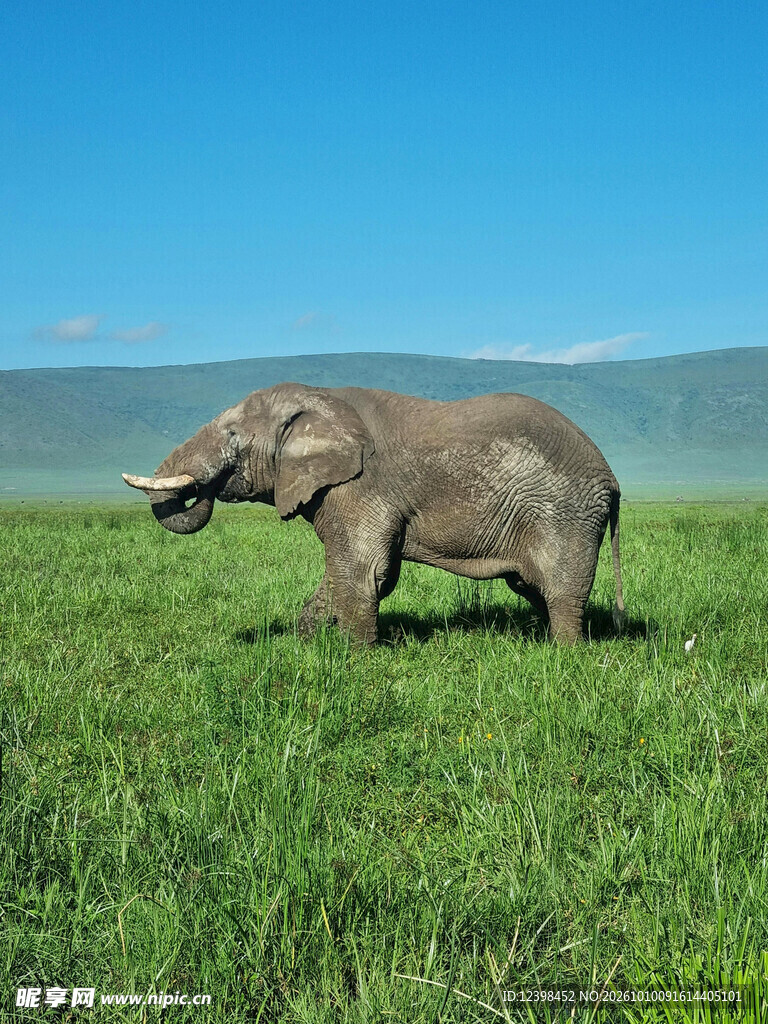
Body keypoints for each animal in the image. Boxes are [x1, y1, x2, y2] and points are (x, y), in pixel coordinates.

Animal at [123, 383, 624, 645]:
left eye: (232, 435)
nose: (204, 486)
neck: (320, 398)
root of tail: (613, 479)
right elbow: (353, 575)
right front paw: (307, 646)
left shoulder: (360, 486)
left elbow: (364, 571)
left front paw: (358, 657)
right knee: (534, 589)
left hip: (566, 514)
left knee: (560, 591)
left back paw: (564, 653)